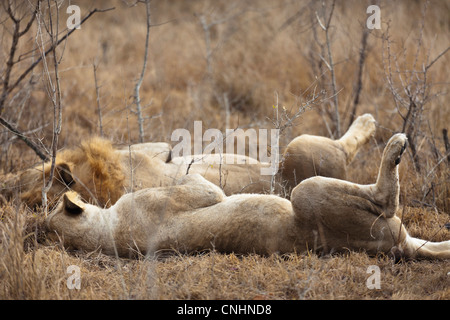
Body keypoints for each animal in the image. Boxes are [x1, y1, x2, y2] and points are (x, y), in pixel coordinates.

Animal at [46, 133, 450, 260]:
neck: (105, 232)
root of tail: (397, 248)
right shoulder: (189, 194)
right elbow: (202, 184)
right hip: (309, 194)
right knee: (385, 198)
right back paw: (395, 145)